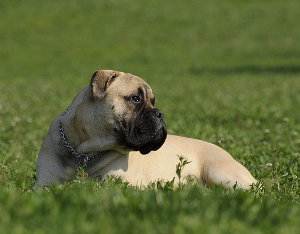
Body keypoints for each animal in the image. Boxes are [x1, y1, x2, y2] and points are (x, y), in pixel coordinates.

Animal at [35, 69, 255, 188]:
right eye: (135, 98)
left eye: (153, 101)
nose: (159, 113)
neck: (84, 153)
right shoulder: (44, 185)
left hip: (221, 173)